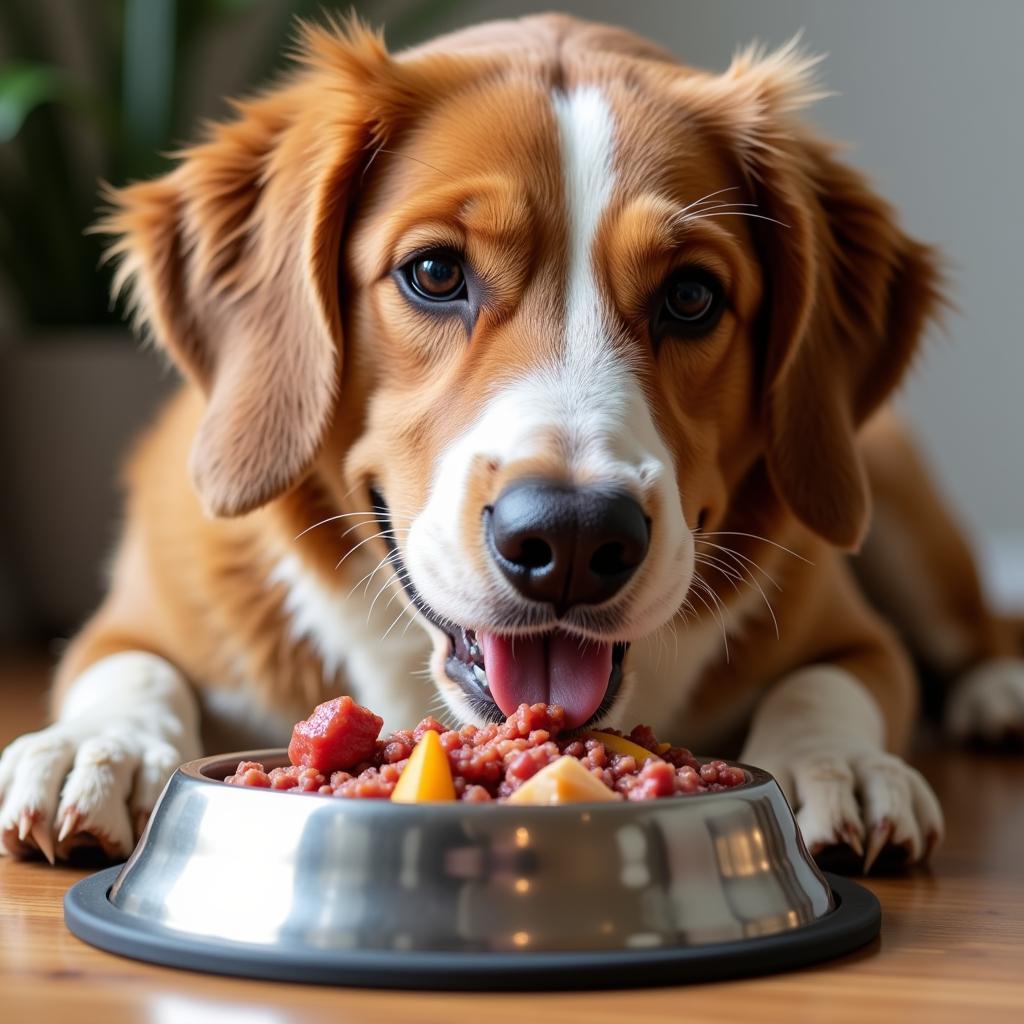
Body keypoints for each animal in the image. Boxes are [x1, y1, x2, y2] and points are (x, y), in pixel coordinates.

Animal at [2, 14, 1024, 864]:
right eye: (433, 273)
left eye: (692, 296)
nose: (572, 538)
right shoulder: (130, 620)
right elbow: (128, 673)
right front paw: (96, 749)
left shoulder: (855, 635)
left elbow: (825, 688)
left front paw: (839, 765)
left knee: (971, 629)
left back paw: (996, 692)